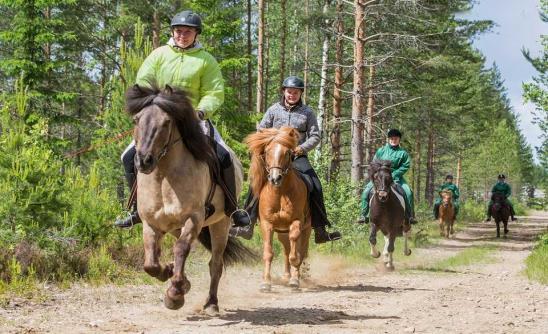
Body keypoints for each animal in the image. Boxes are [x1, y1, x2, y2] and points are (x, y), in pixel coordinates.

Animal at [127, 84, 256, 314]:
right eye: (136, 120)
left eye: (166, 122)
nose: (143, 161)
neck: (164, 177)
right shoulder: (151, 223)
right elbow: (151, 263)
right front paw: (169, 273)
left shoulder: (194, 218)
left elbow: (181, 249)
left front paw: (175, 294)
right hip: (175, 226)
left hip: (220, 224)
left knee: (215, 264)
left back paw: (211, 303)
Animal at [246, 126, 310, 290]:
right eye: (267, 151)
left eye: (287, 153)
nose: (275, 178)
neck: (280, 193)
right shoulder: (267, 224)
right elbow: (269, 253)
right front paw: (266, 283)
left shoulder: (296, 221)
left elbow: (296, 252)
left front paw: (295, 279)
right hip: (281, 232)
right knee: (287, 249)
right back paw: (287, 275)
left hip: (306, 229)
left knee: (301, 249)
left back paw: (298, 276)